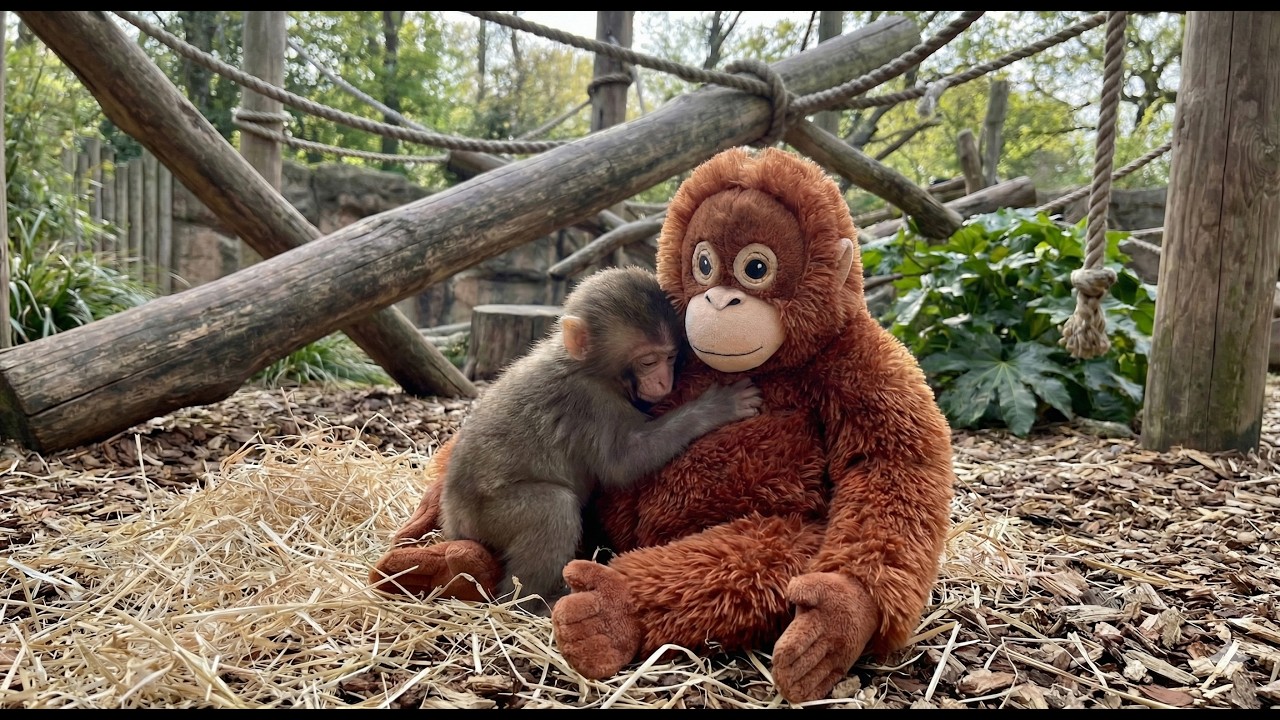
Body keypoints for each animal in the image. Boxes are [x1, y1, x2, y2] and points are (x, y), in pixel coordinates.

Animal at [437, 266, 763, 615]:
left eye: (670, 357)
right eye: (648, 362)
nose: (664, 381)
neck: (582, 365)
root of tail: (452, 519)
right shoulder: (591, 402)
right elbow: (623, 463)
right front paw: (717, 406)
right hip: (485, 517)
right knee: (553, 508)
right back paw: (530, 602)